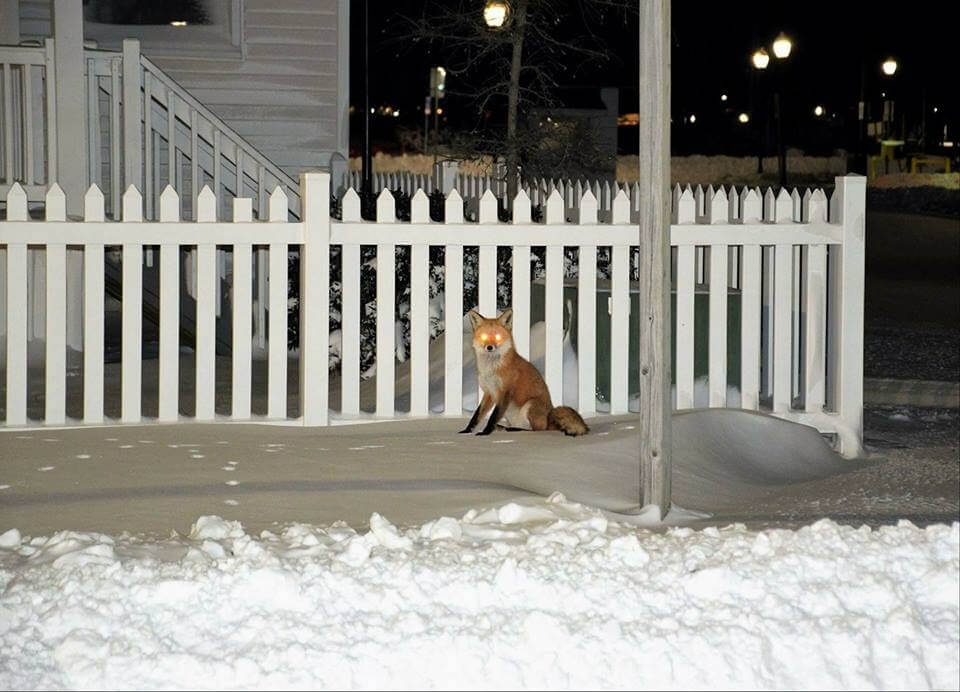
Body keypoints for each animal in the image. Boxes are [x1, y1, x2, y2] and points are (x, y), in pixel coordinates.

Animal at [460, 308, 589, 437]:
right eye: (484, 336)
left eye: (498, 337)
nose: (489, 347)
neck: (491, 369)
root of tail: (549, 418)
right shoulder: (489, 393)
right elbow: (476, 416)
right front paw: (467, 430)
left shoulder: (504, 392)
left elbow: (493, 417)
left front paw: (485, 432)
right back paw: (504, 428)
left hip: (530, 405)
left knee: (537, 429)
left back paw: (513, 430)